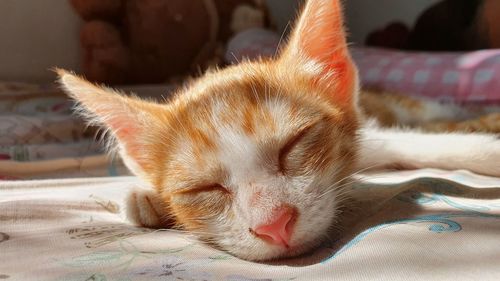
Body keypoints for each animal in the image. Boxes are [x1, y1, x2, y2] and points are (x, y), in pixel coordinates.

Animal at [56, 0, 500, 260]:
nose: (274, 225)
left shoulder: (374, 136)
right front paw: (144, 196)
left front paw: (488, 153)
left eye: (293, 145)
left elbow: (428, 144)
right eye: (204, 188)